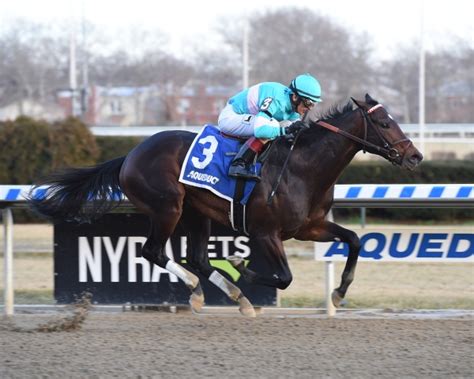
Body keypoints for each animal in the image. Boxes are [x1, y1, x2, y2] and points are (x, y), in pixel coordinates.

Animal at [28, 94, 422, 318]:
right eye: (384, 122)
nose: (416, 156)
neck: (302, 167)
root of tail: (130, 155)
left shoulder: (308, 227)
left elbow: (354, 240)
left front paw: (339, 294)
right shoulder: (265, 232)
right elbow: (284, 277)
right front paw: (241, 264)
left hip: (195, 213)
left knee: (199, 258)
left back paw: (235, 297)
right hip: (167, 208)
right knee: (154, 251)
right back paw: (200, 289)